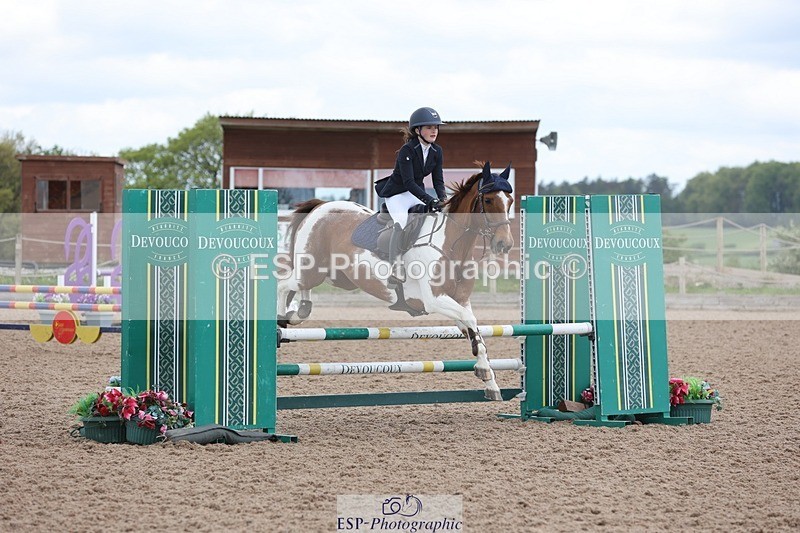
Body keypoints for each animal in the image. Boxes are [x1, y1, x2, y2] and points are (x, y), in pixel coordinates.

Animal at [277, 162, 515, 400]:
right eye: (488, 200)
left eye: (510, 201)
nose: (505, 244)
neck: (451, 244)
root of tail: (321, 206)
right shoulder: (435, 299)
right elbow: (470, 321)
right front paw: (486, 373)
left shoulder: (460, 300)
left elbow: (475, 333)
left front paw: (489, 381)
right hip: (311, 270)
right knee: (284, 284)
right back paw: (282, 319)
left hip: (335, 276)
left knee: (301, 290)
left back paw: (299, 311)